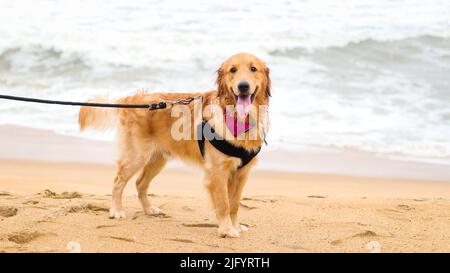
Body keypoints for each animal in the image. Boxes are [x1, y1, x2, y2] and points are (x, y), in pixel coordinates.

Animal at [78, 52, 270, 236]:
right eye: (233, 70)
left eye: (253, 69)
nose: (243, 86)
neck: (238, 117)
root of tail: (131, 99)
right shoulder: (217, 172)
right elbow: (223, 203)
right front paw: (226, 229)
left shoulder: (242, 173)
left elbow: (235, 204)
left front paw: (235, 225)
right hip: (137, 156)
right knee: (118, 180)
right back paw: (116, 210)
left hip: (158, 159)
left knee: (140, 183)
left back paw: (149, 209)